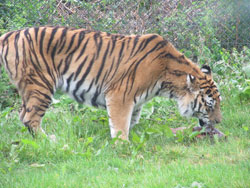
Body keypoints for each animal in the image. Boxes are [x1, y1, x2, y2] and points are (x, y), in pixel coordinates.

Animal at [0, 26, 223, 141]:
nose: (220, 122)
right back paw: (49, 141)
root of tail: (9, 34)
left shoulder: (136, 101)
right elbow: (120, 123)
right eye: (209, 105)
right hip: (41, 85)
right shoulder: (120, 95)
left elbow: (131, 121)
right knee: (29, 118)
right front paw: (123, 145)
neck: (167, 81)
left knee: (23, 114)